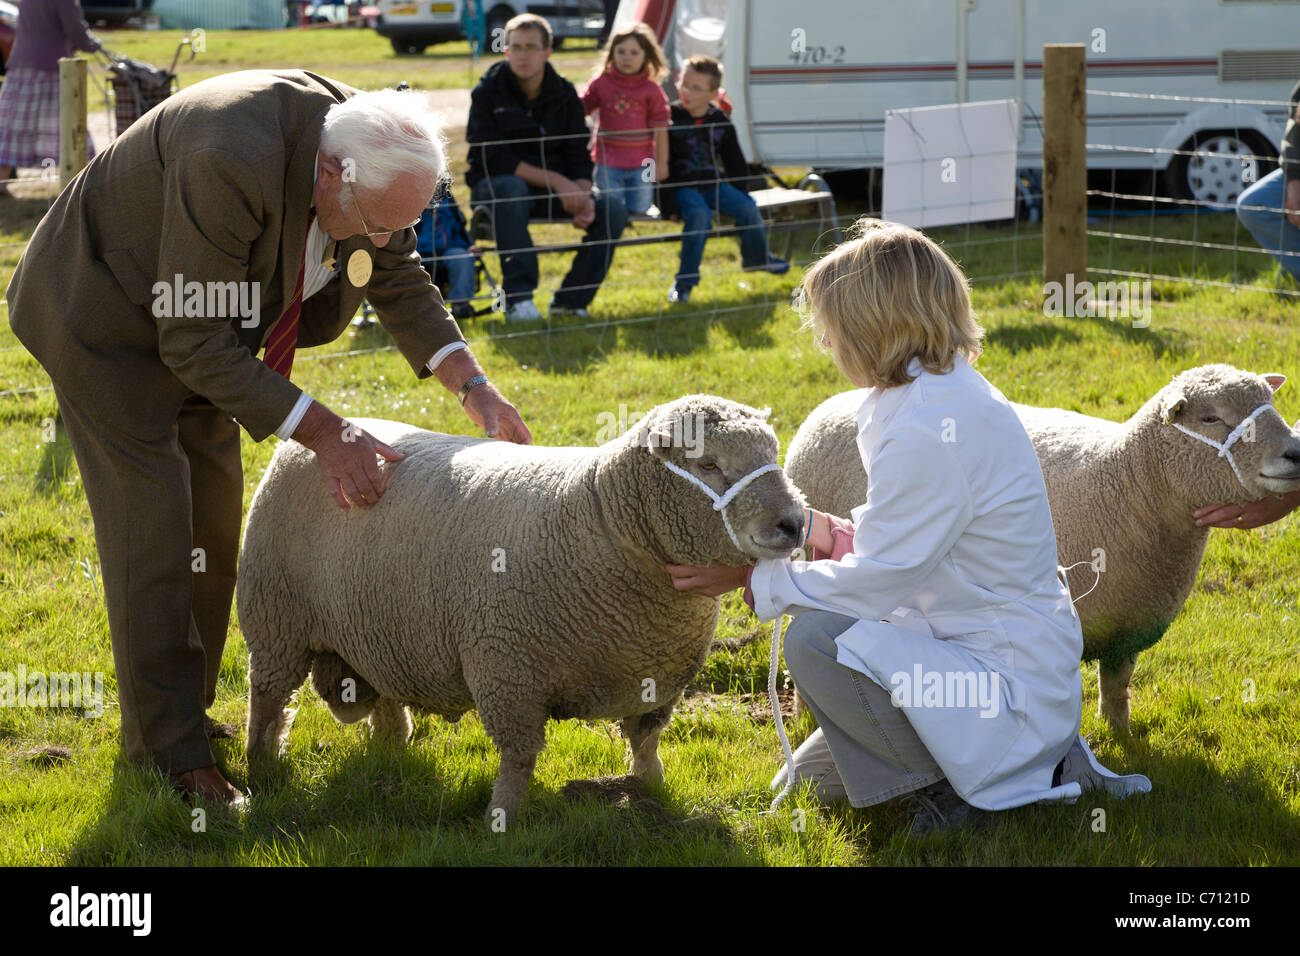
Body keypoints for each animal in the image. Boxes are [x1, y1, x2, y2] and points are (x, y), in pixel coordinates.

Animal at [232, 395, 800, 822]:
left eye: (773, 451)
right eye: (708, 464)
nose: (794, 523)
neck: (599, 515)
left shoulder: (658, 677)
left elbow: (646, 740)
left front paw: (649, 789)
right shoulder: (508, 672)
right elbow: (520, 758)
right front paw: (500, 820)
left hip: (376, 624)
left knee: (383, 687)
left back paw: (392, 744)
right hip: (275, 615)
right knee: (267, 696)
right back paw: (260, 770)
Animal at [780, 361, 1300, 728]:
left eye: (1270, 404)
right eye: (1212, 417)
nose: (1294, 452)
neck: (1131, 478)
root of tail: (831, 403)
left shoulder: (1126, 630)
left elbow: (1117, 691)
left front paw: (1123, 736)